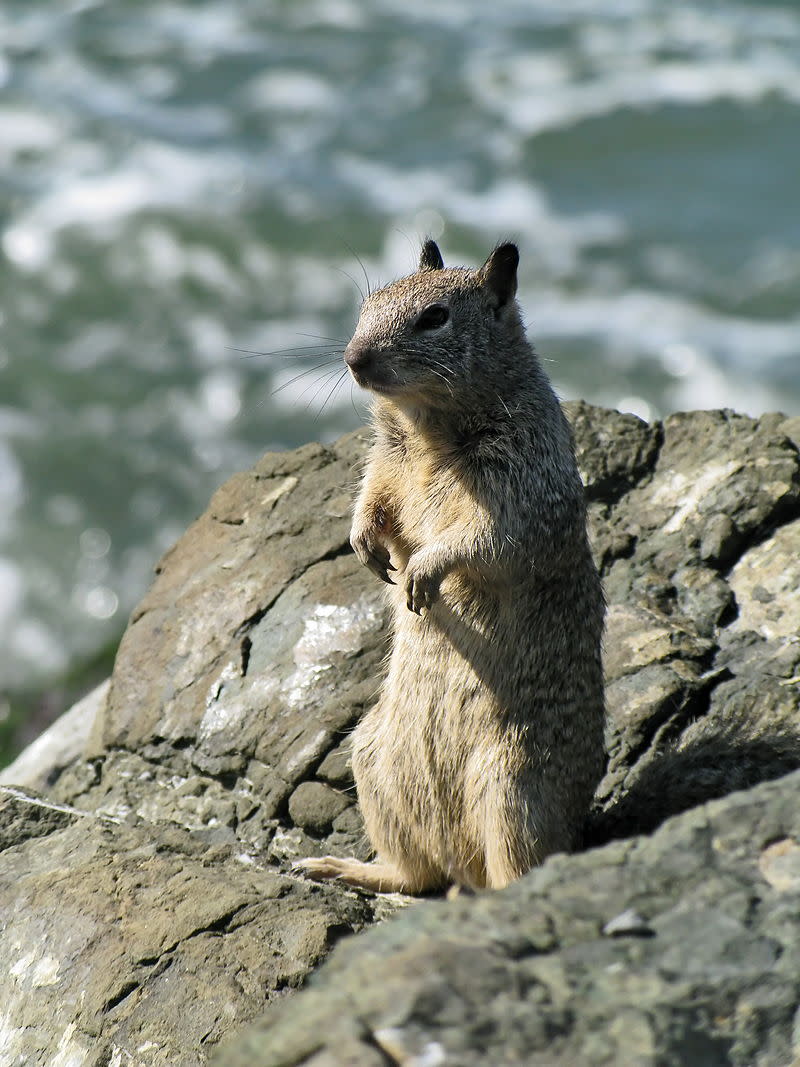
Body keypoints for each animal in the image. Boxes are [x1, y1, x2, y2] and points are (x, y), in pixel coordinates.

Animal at [298, 242, 605, 892]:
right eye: (367, 303)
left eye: (435, 317)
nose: (354, 358)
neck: (426, 427)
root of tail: (460, 861)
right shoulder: (385, 461)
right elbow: (372, 497)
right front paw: (364, 543)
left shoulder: (521, 487)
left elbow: (484, 541)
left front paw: (423, 573)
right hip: (371, 760)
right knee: (414, 876)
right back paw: (345, 866)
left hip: (513, 791)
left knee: (511, 869)